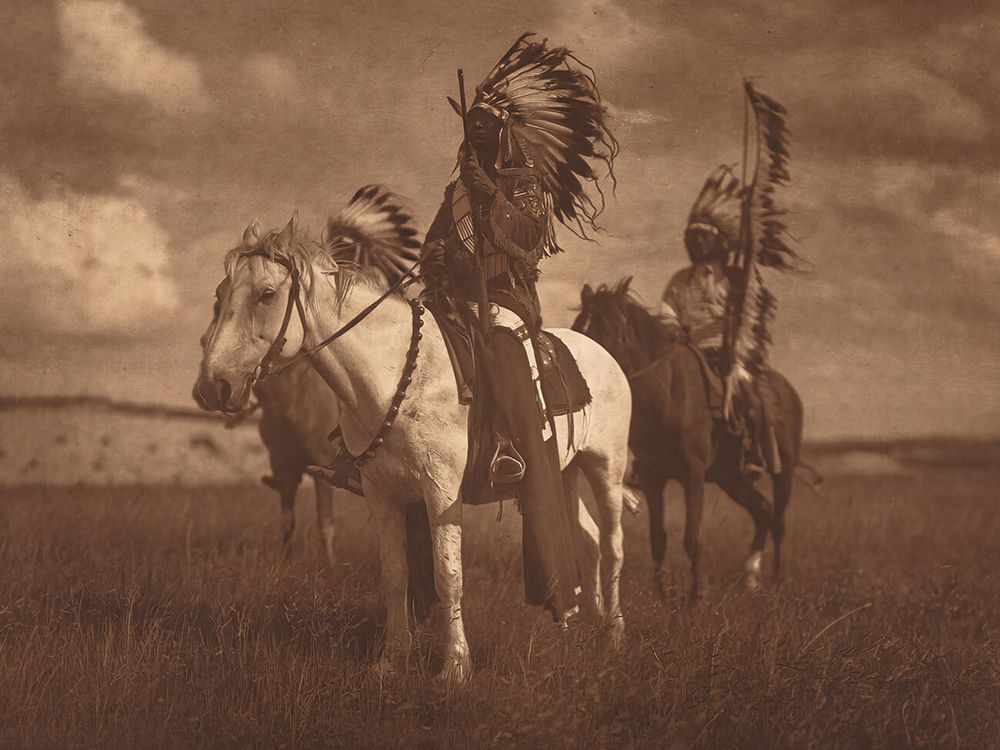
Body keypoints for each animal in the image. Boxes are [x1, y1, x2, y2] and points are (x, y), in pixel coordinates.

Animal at [196, 213, 632, 688]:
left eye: (267, 294)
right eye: (219, 294)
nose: (213, 386)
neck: (394, 378)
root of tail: (602, 354)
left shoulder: (440, 491)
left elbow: (448, 576)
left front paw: (455, 668)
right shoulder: (382, 494)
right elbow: (394, 574)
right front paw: (391, 659)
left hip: (605, 470)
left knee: (613, 546)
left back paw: (612, 636)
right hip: (564, 474)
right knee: (587, 539)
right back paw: (584, 622)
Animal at [572, 280, 804, 604]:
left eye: (607, 328)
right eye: (578, 327)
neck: (667, 394)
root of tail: (788, 392)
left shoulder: (692, 475)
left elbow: (692, 537)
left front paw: (697, 595)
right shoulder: (654, 478)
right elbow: (658, 538)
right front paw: (663, 594)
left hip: (784, 471)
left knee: (779, 521)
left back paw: (777, 579)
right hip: (731, 479)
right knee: (763, 511)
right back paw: (750, 579)